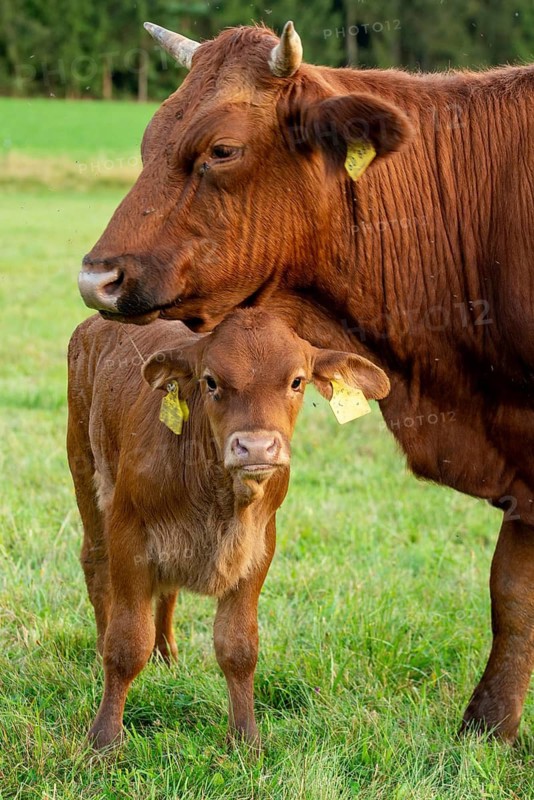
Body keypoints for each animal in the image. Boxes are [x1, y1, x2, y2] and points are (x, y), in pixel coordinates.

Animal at [67, 307, 389, 748]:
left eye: (296, 381)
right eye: (211, 381)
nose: (256, 447)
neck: (219, 501)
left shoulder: (258, 548)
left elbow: (238, 646)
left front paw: (246, 739)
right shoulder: (129, 534)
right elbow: (127, 643)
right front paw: (103, 739)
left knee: (166, 591)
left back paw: (166, 657)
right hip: (84, 467)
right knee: (96, 567)